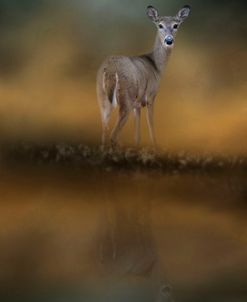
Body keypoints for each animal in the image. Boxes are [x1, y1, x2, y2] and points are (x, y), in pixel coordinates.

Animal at [96, 5, 191, 149]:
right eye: (160, 25)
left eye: (176, 25)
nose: (169, 40)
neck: (156, 66)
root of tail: (110, 70)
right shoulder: (151, 96)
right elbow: (151, 123)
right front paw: (155, 146)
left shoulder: (138, 104)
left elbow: (137, 131)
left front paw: (137, 145)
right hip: (126, 98)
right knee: (113, 135)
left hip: (102, 98)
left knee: (104, 132)